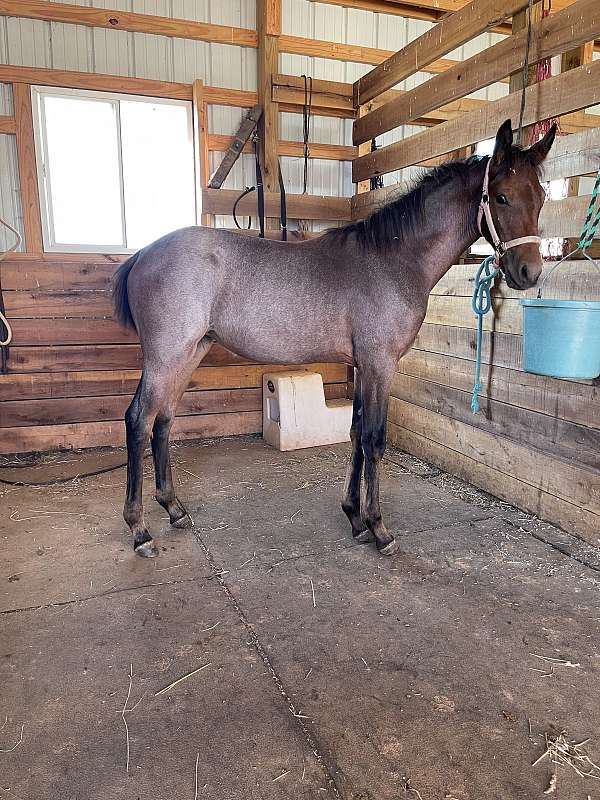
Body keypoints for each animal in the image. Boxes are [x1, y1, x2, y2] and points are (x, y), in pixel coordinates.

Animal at [113, 120, 556, 556]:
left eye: (541, 198)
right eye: (500, 197)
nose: (529, 272)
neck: (393, 259)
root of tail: (143, 254)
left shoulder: (362, 365)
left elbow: (356, 432)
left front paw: (354, 518)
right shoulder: (380, 364)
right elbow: (375, 439)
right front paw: (379, 528)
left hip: (190, 353)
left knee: (163, 419)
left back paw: (174, 509)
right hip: (166, 356)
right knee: (138, 419)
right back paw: (139, 530)